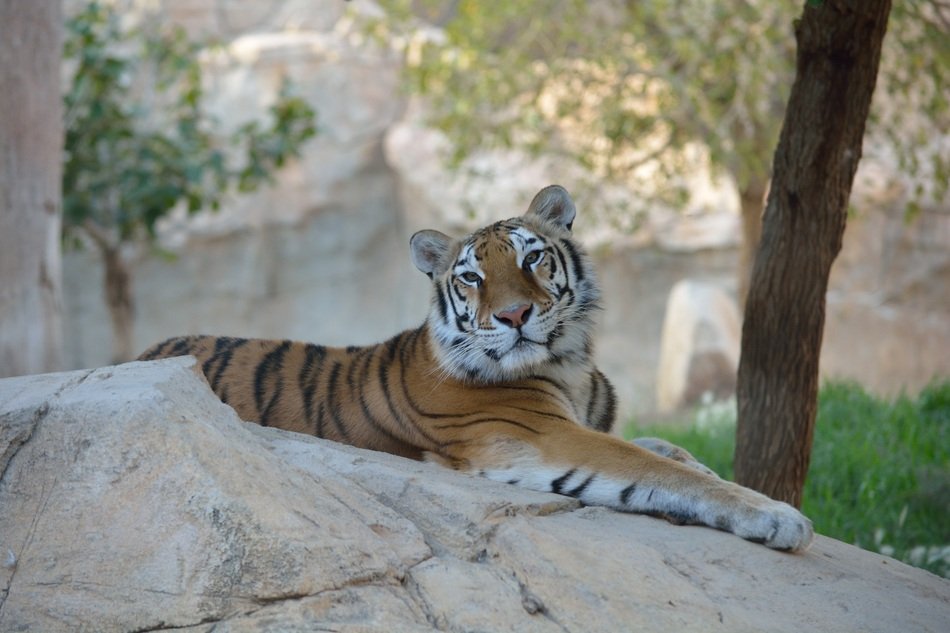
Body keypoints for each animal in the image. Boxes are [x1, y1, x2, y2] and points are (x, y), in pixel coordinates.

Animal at [140, 184, 814, 552]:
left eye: (532, 259)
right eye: (471, 277)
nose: (514, 315)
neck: (571, 361)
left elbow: (674, 452)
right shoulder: (544, 436)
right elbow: (658, 468)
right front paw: (780, 517)